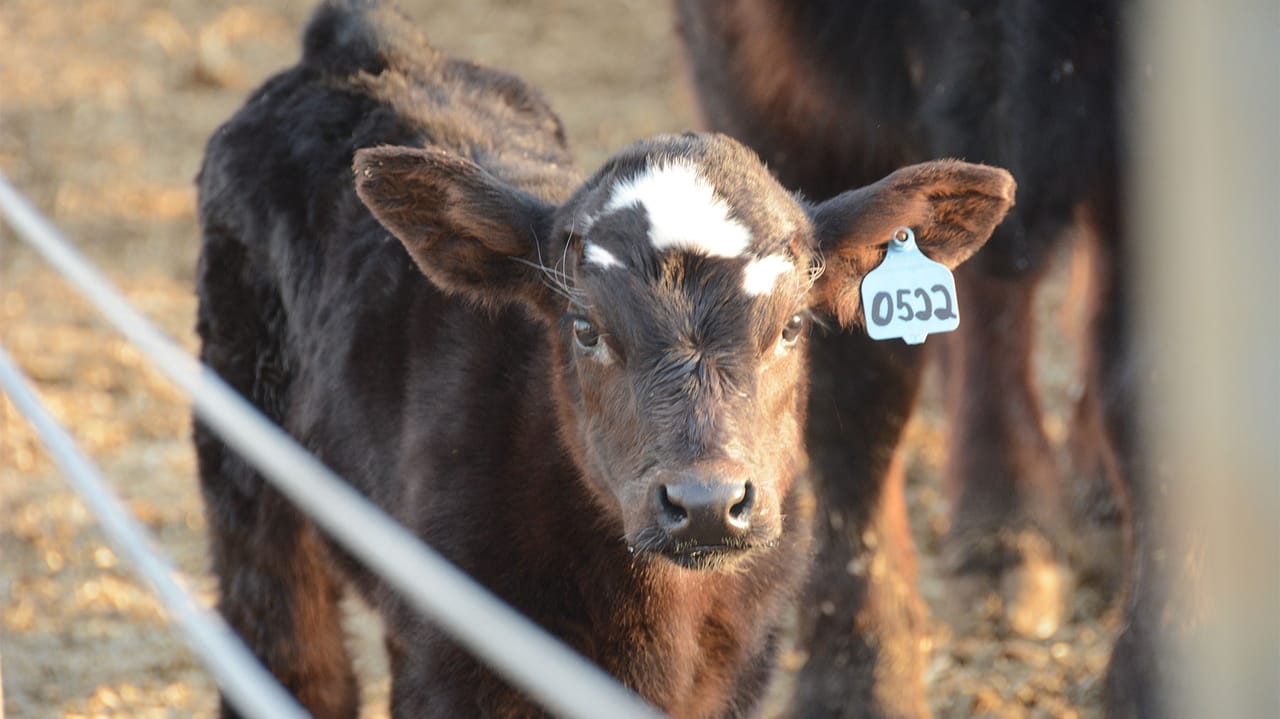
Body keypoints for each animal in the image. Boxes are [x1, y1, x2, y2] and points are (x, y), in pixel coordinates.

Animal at [192, 1, 1013, 716]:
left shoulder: (739, 669)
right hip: (242, 441)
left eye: (791, 327)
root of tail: (363, 44)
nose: (706, 503)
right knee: (290, 648)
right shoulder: (444, 662)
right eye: (585, 327)